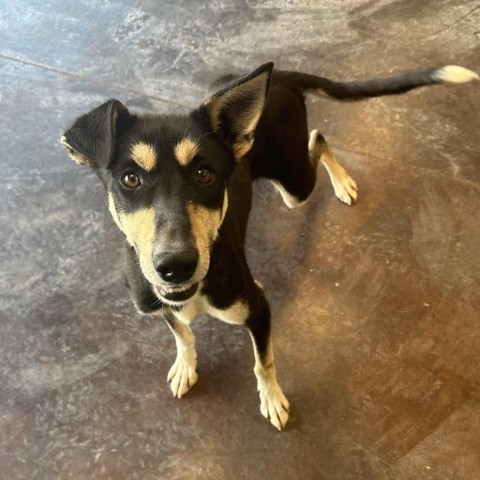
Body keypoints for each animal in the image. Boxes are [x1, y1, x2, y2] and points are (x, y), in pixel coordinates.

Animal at [62, 62, 478, 430]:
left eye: (204, 174)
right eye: (130, 179)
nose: (175, 265)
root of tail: (280, 76)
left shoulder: (258, 307)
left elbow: (263, 362)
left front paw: (273, 399)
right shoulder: (158, 303)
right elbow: (182, 333)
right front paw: (186, 365)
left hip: (295, 184)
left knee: (319, 140)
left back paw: (343, 182)